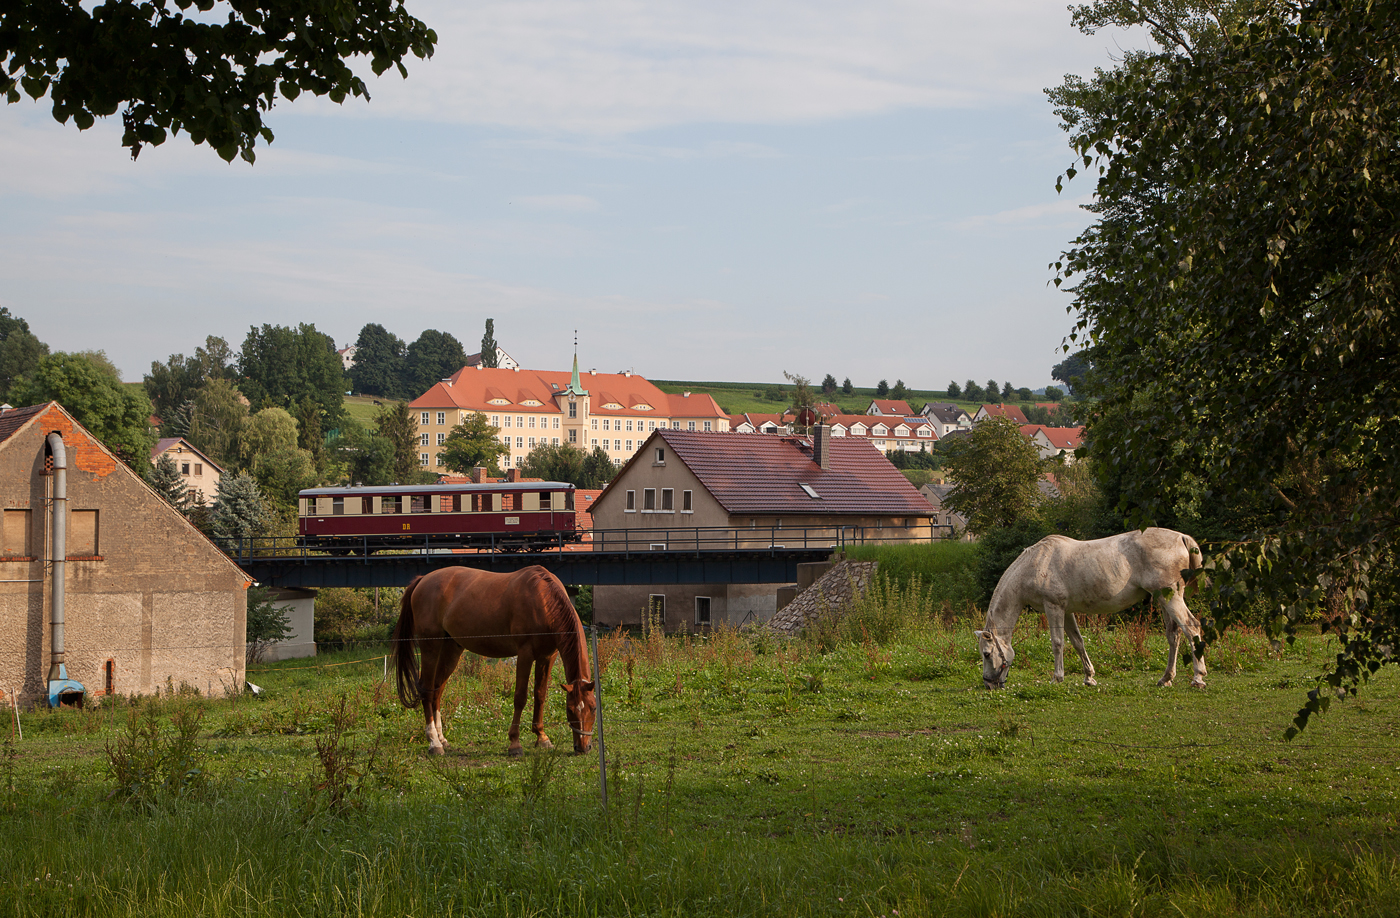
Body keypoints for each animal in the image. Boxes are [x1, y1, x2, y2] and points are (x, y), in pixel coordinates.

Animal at [394, 565, 596, 755]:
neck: (542, 599)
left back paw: (442, 738)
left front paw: (542, 737)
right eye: (570, 710)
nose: (583, 747)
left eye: (593, 708)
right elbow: (520, 697)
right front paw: (515, 743)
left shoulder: (547, 656)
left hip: (450, 649)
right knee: (427, 690)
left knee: (437, 690)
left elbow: (540, 695)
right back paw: (434, 742)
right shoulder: (525, 654)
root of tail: (423, 580)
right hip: (430, 648)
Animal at [974, 531, 1204, 688]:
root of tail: (1182, 538)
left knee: (1192, 628)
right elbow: (1077, 642)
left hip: (1171, 598)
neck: (1036, 564)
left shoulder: (1053, 607)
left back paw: (1198, 678)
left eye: (986, 654)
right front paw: (1089, 677)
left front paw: (1057, 678)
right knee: (1174, 636)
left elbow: (1057, 643)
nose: (988, 684)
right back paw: (1166, 678)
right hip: (1164, 599)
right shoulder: (1066, 611)